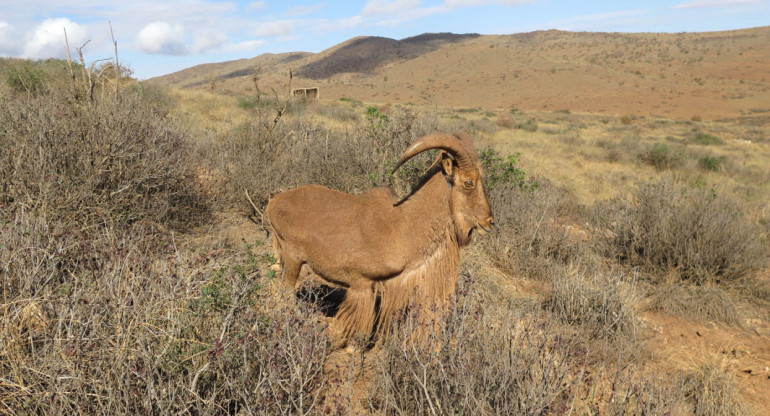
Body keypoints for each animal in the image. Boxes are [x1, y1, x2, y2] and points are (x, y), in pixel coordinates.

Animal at [266, 132, 492, 342]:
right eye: (468, 182)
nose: (489, 222)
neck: (403, 224)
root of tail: (274, 203)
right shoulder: (361, 282)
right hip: (293, 258)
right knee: (285, 293)